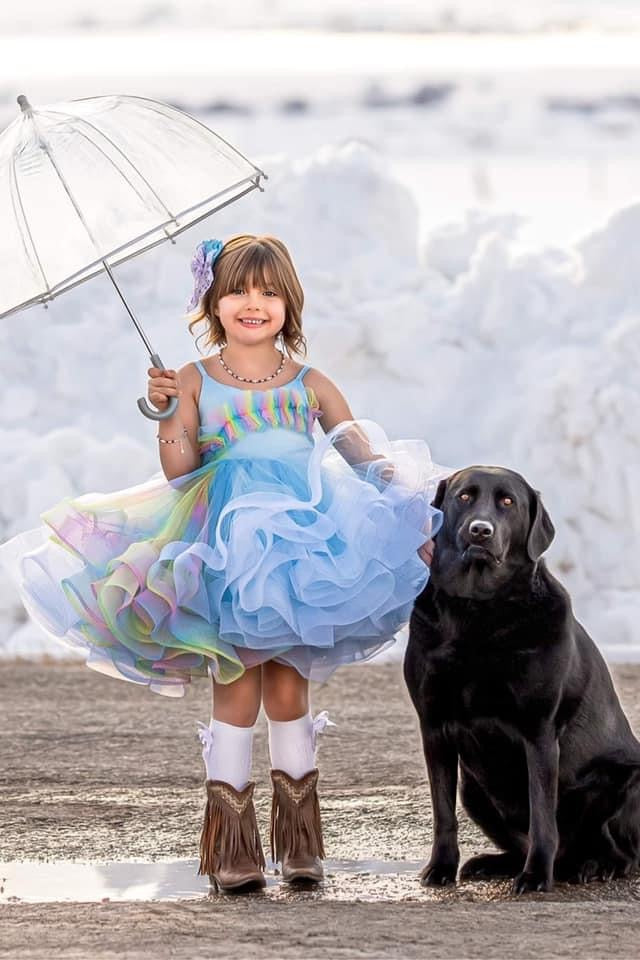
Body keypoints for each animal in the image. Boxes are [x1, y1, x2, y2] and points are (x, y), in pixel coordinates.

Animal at [404, 464, 640, 892]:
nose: (480, 531)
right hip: (473, 789)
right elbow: (443, 813)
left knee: (621, 851)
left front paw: (534, 877)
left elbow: (543, 815)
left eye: (507, 502)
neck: (477, 612)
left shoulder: (539, 732)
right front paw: (441, 867)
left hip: (627, 779)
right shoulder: (433, 727)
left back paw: (594, 866)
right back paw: (495, 864)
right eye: (465, 496)